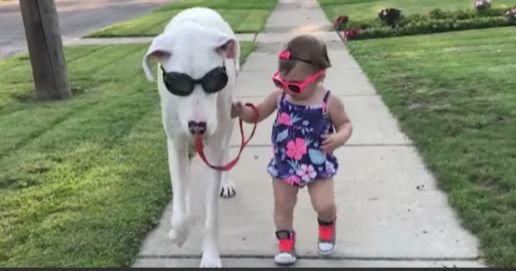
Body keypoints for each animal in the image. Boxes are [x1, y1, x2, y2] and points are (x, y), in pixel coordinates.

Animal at [142, 7, 241, 268]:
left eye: (215, 78)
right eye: (177, 82)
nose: (198, 126)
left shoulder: (215, 142)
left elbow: (211, 211)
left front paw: (211, 257)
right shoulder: (175, 142)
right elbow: (179, 195)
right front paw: (178, 232)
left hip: (229, 120)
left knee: (227, 148)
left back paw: (226, 183)